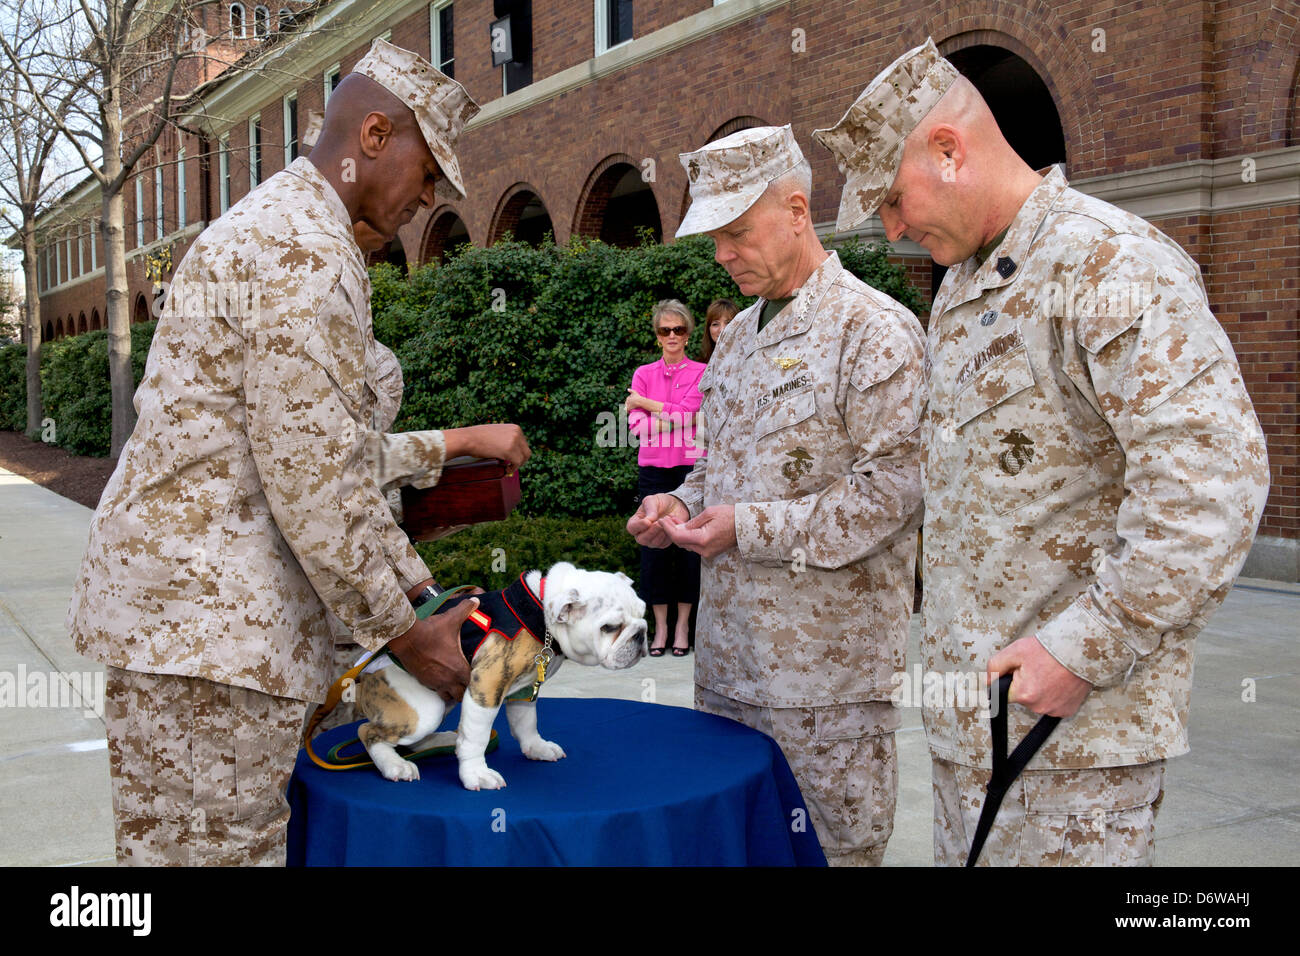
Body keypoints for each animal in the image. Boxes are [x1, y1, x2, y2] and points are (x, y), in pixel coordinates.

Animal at [356, 564, 644, 790]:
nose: (641, 634)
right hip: (425, 709)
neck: (540, 614)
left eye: (642, 613)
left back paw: (442, 741)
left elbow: (526, 722)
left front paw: (536, 747)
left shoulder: (525, 689)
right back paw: (395, 765)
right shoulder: (486, 686)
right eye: (610, 628)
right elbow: (476, 737)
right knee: (368, 731)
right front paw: (476, 773)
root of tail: (364, 675)